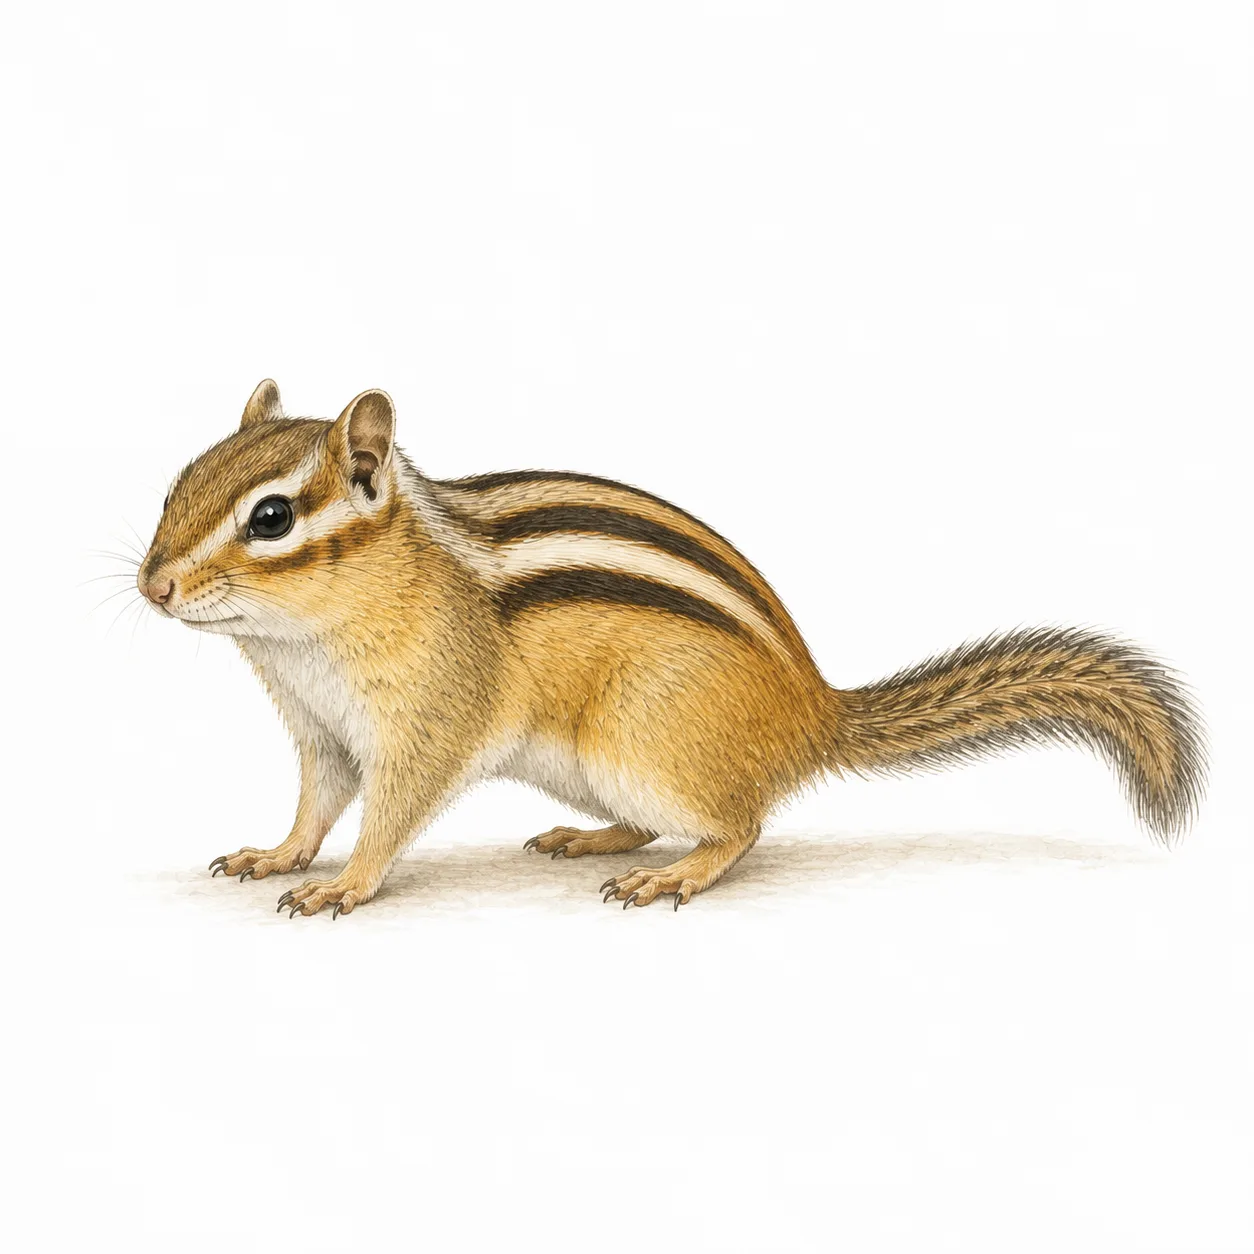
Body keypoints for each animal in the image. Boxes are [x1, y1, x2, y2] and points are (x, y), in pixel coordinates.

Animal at [137, 380, 1207, 916]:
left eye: (271, 518)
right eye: (178, 483)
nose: (153, 586)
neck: (305, 643)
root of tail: (813, 710)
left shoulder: (429, 718)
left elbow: (390, 813)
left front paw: (345, 885)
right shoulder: (321, 728)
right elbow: (317, 802)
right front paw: (278, 855)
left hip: (647, 742)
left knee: (740, 826)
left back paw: (675, 875)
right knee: (657, 821)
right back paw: (592, 838)